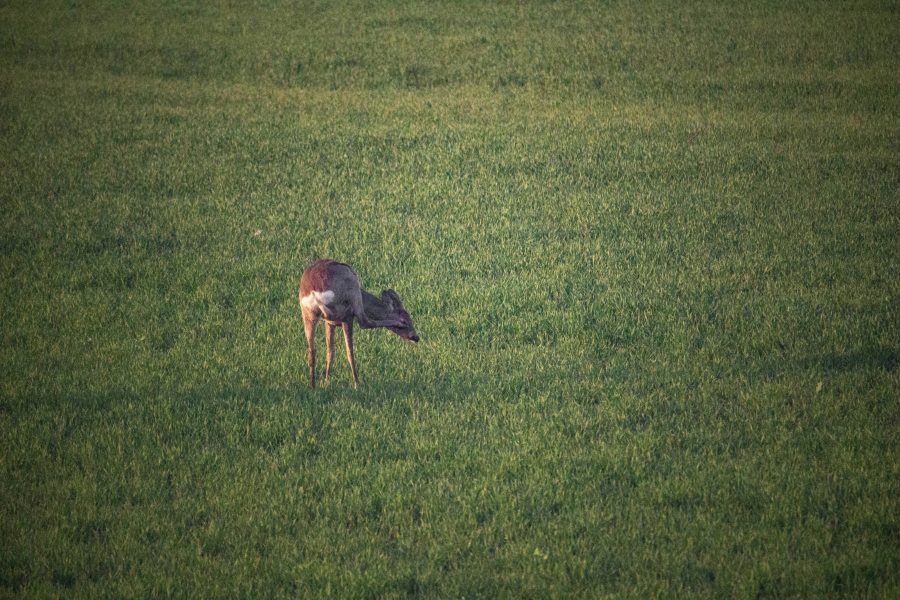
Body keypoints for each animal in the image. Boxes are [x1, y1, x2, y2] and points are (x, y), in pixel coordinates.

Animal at [298, 258, 418, 390]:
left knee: (311, 352)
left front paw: (326, 382)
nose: (416, 337)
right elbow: (348, 351)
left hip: (308, 313)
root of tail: (317, 291)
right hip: (351, 294)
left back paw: (312, 386)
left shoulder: (330, 322)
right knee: (363, 323)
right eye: (406, 320)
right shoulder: (347, 316)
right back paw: (357, 383)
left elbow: (330, 352)